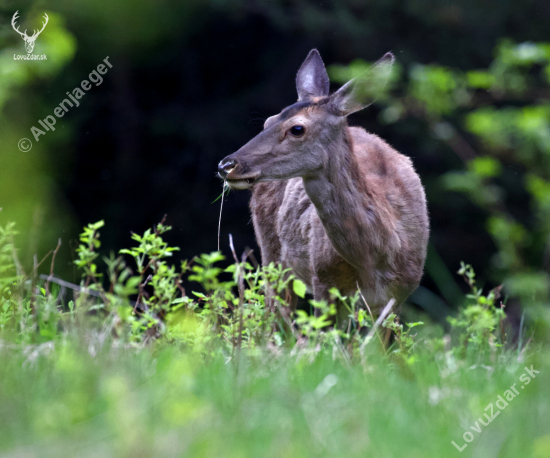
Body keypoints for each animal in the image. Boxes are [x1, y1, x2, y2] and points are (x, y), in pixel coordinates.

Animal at [217, 50, 432, 320]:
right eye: (267, 122)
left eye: (297, 128)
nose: (227, 165)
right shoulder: (323, 279)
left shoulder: (400, 292)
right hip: (272, 253)